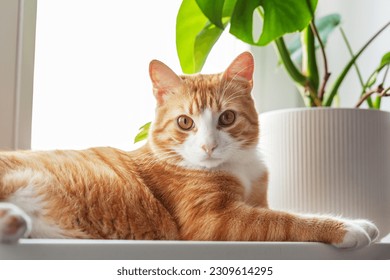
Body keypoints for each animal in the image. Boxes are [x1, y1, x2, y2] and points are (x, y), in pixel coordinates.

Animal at [0, 52, 378, 247]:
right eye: (185, 122)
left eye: (227, 118)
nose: (208, 145)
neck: (239, 167)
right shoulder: (215, 221)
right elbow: (285, 220)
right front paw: (347, 228)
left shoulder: (256, 201)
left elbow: (287, 209)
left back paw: (16, 223)